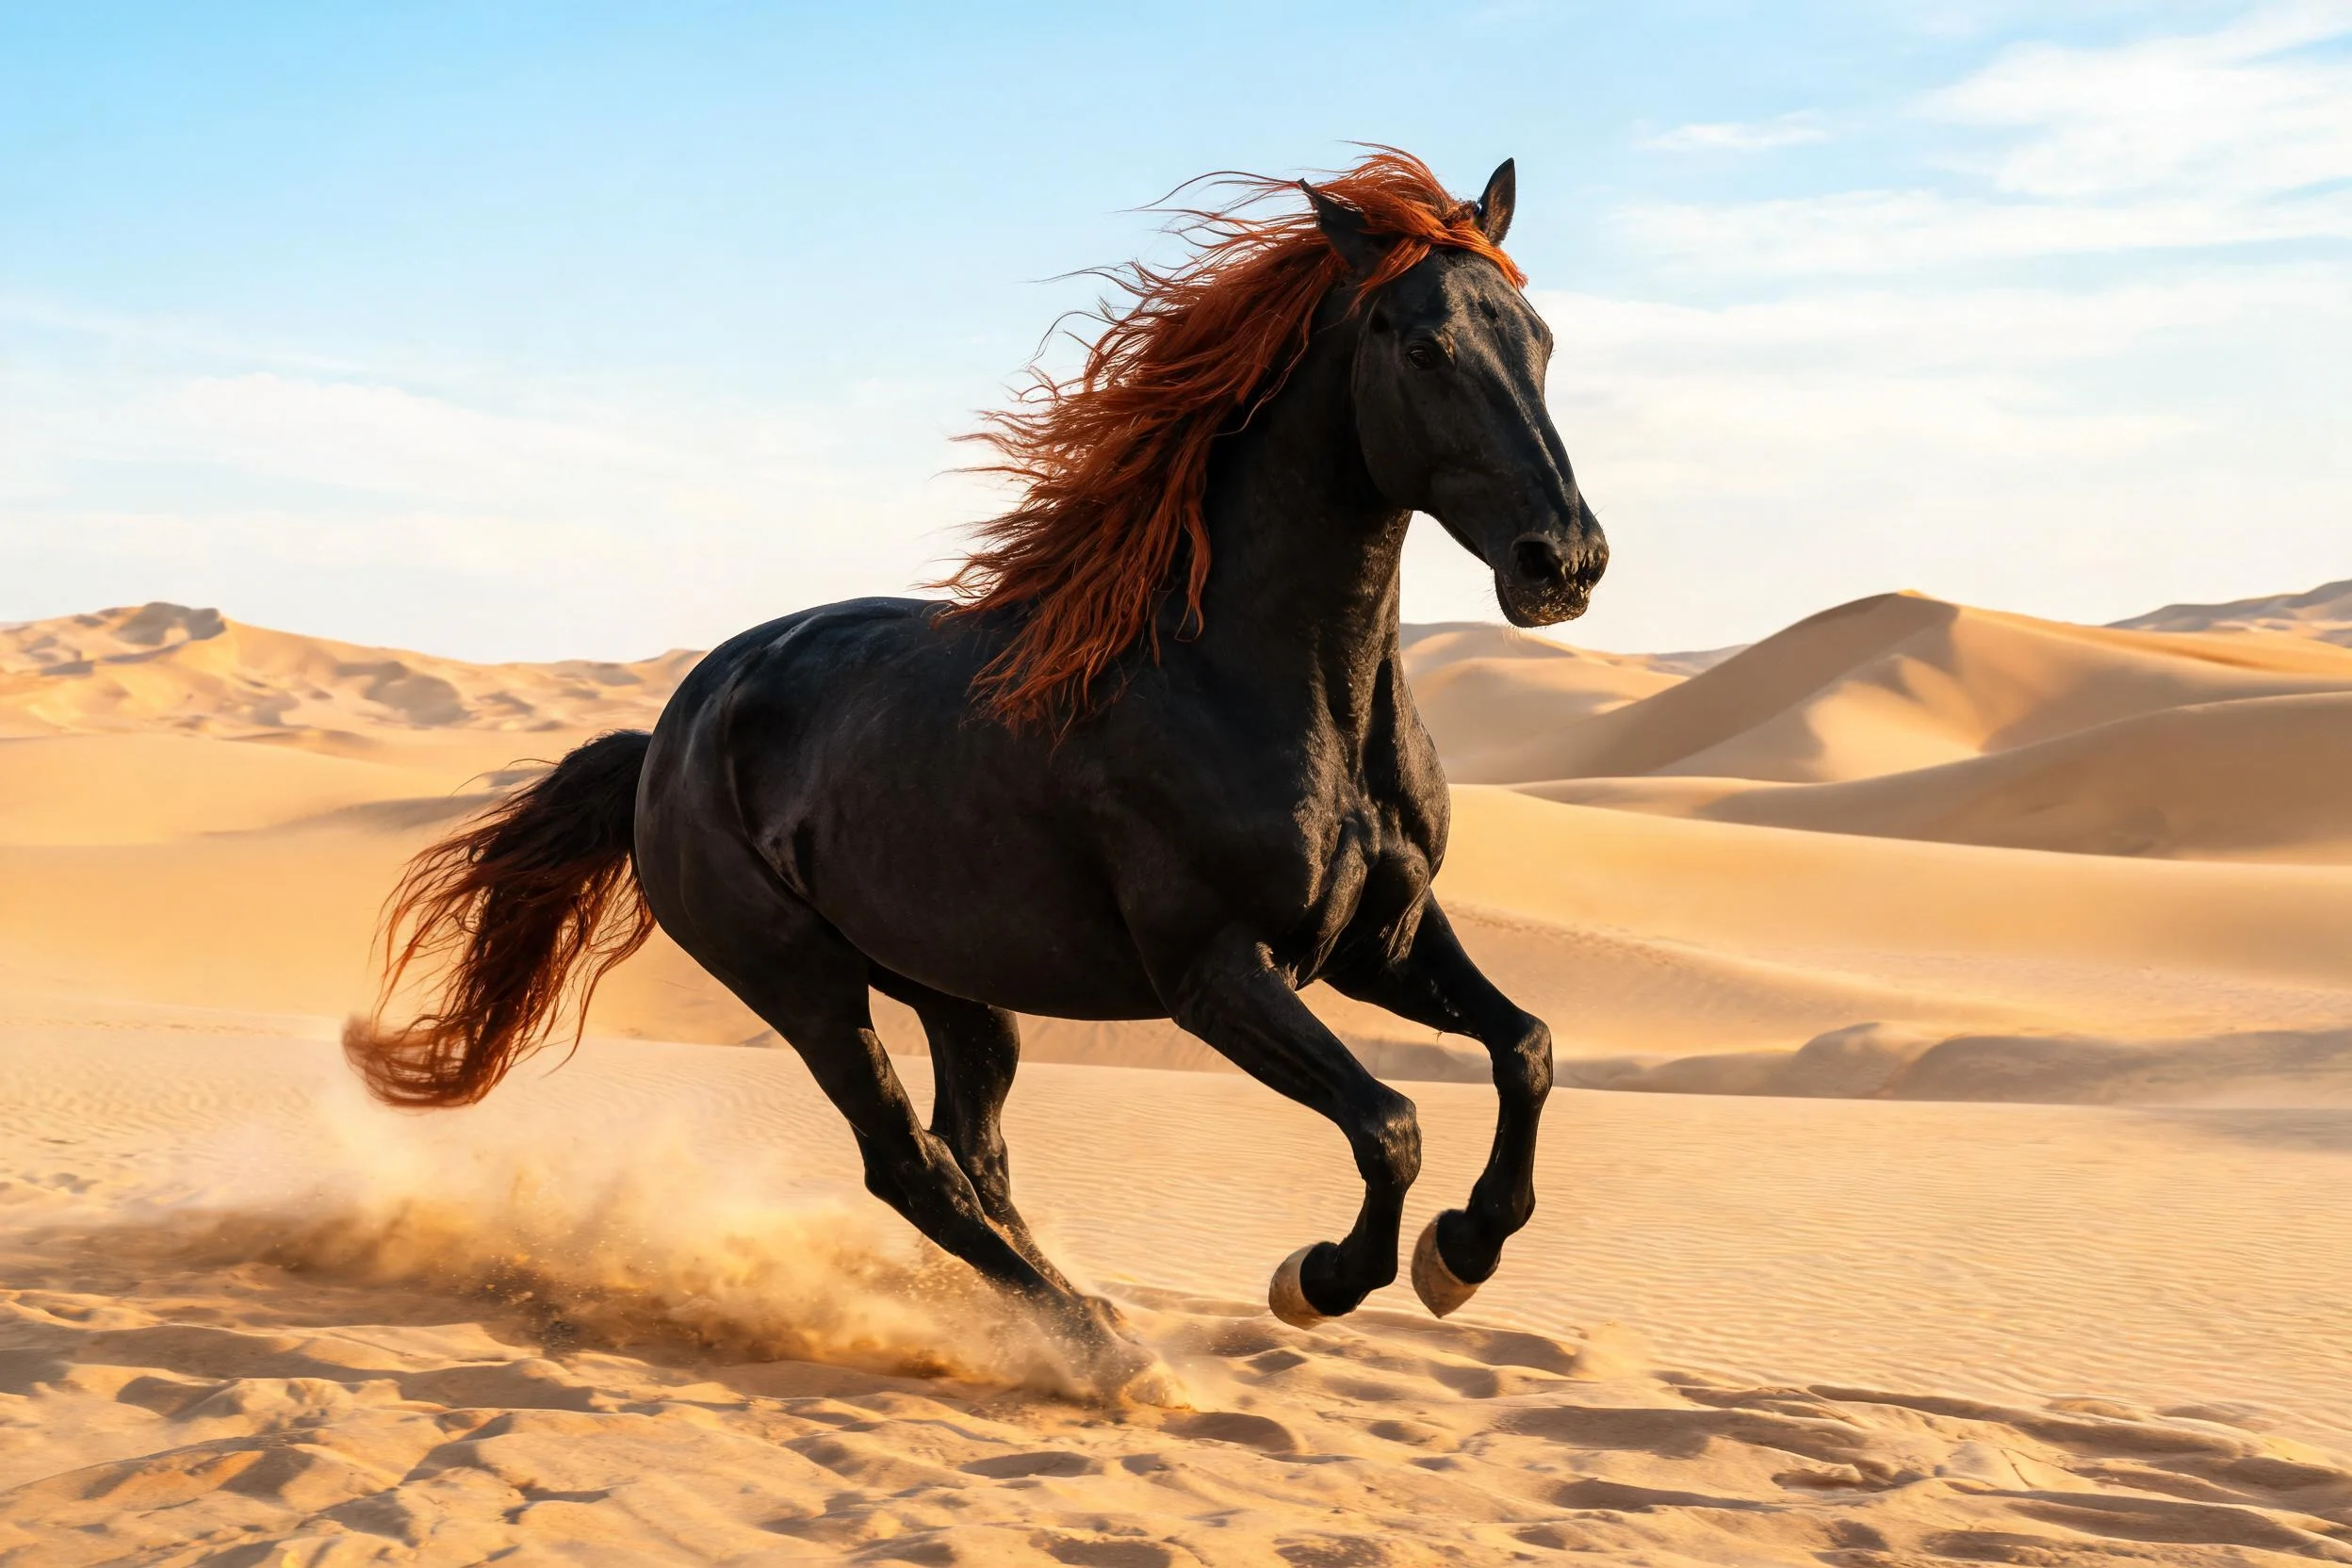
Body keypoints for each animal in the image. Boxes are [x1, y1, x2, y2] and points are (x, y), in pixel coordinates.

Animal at [346, 149, 1608, 1383]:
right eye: (1423, 345)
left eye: (1541, 339)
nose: (1564, 562)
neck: (1266, 686)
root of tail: (665, 737)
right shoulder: (1212, 972)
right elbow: (1390, 1122)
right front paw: (1324, 1277)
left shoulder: (1379, 938)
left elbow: (1527, 1050)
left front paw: (1464, 1250)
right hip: (804, 985)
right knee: (909, 1164)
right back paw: (1103, 1346)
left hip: (952, 981)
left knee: (972, 1154)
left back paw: (1085, 1318)